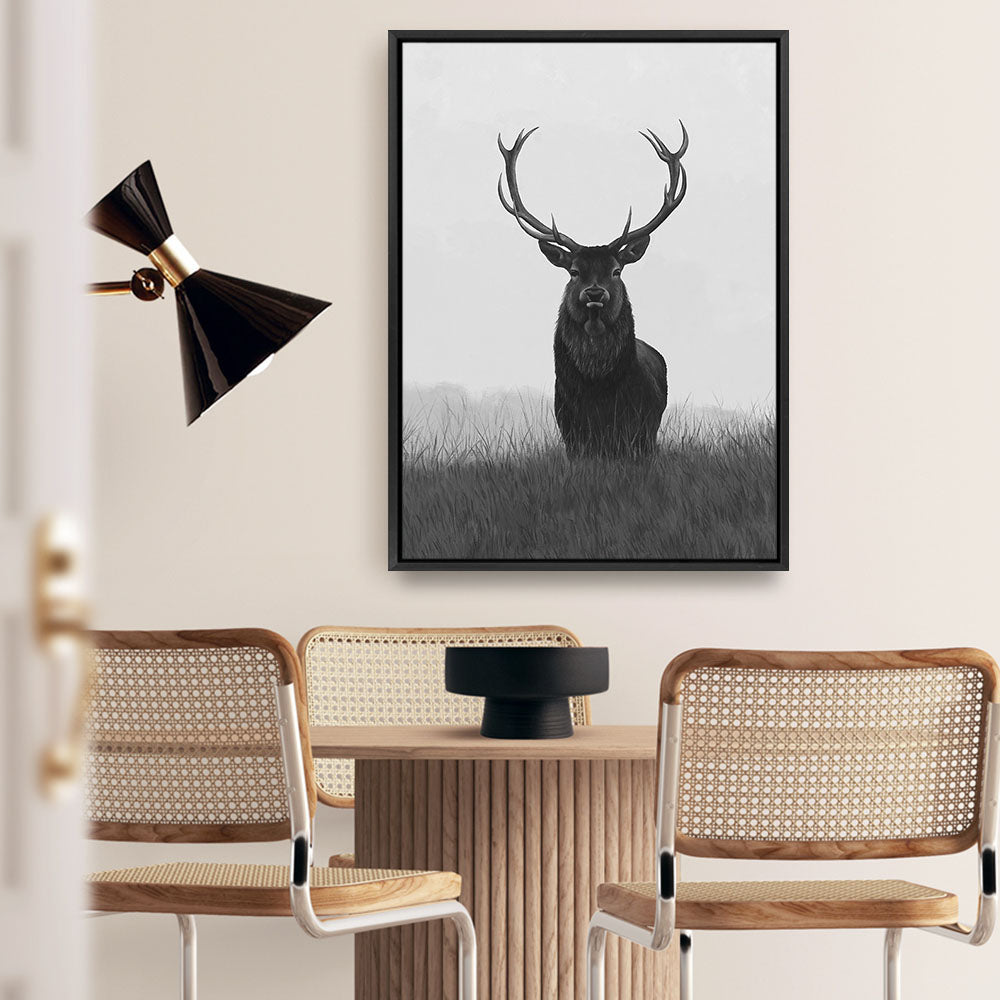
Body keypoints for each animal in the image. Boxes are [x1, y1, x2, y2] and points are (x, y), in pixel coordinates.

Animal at [498, 123, 688, 459]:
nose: (595, 294)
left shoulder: (639, 432)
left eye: (616, 270)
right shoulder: (571, 431)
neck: (598, 394)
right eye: (574, 272)